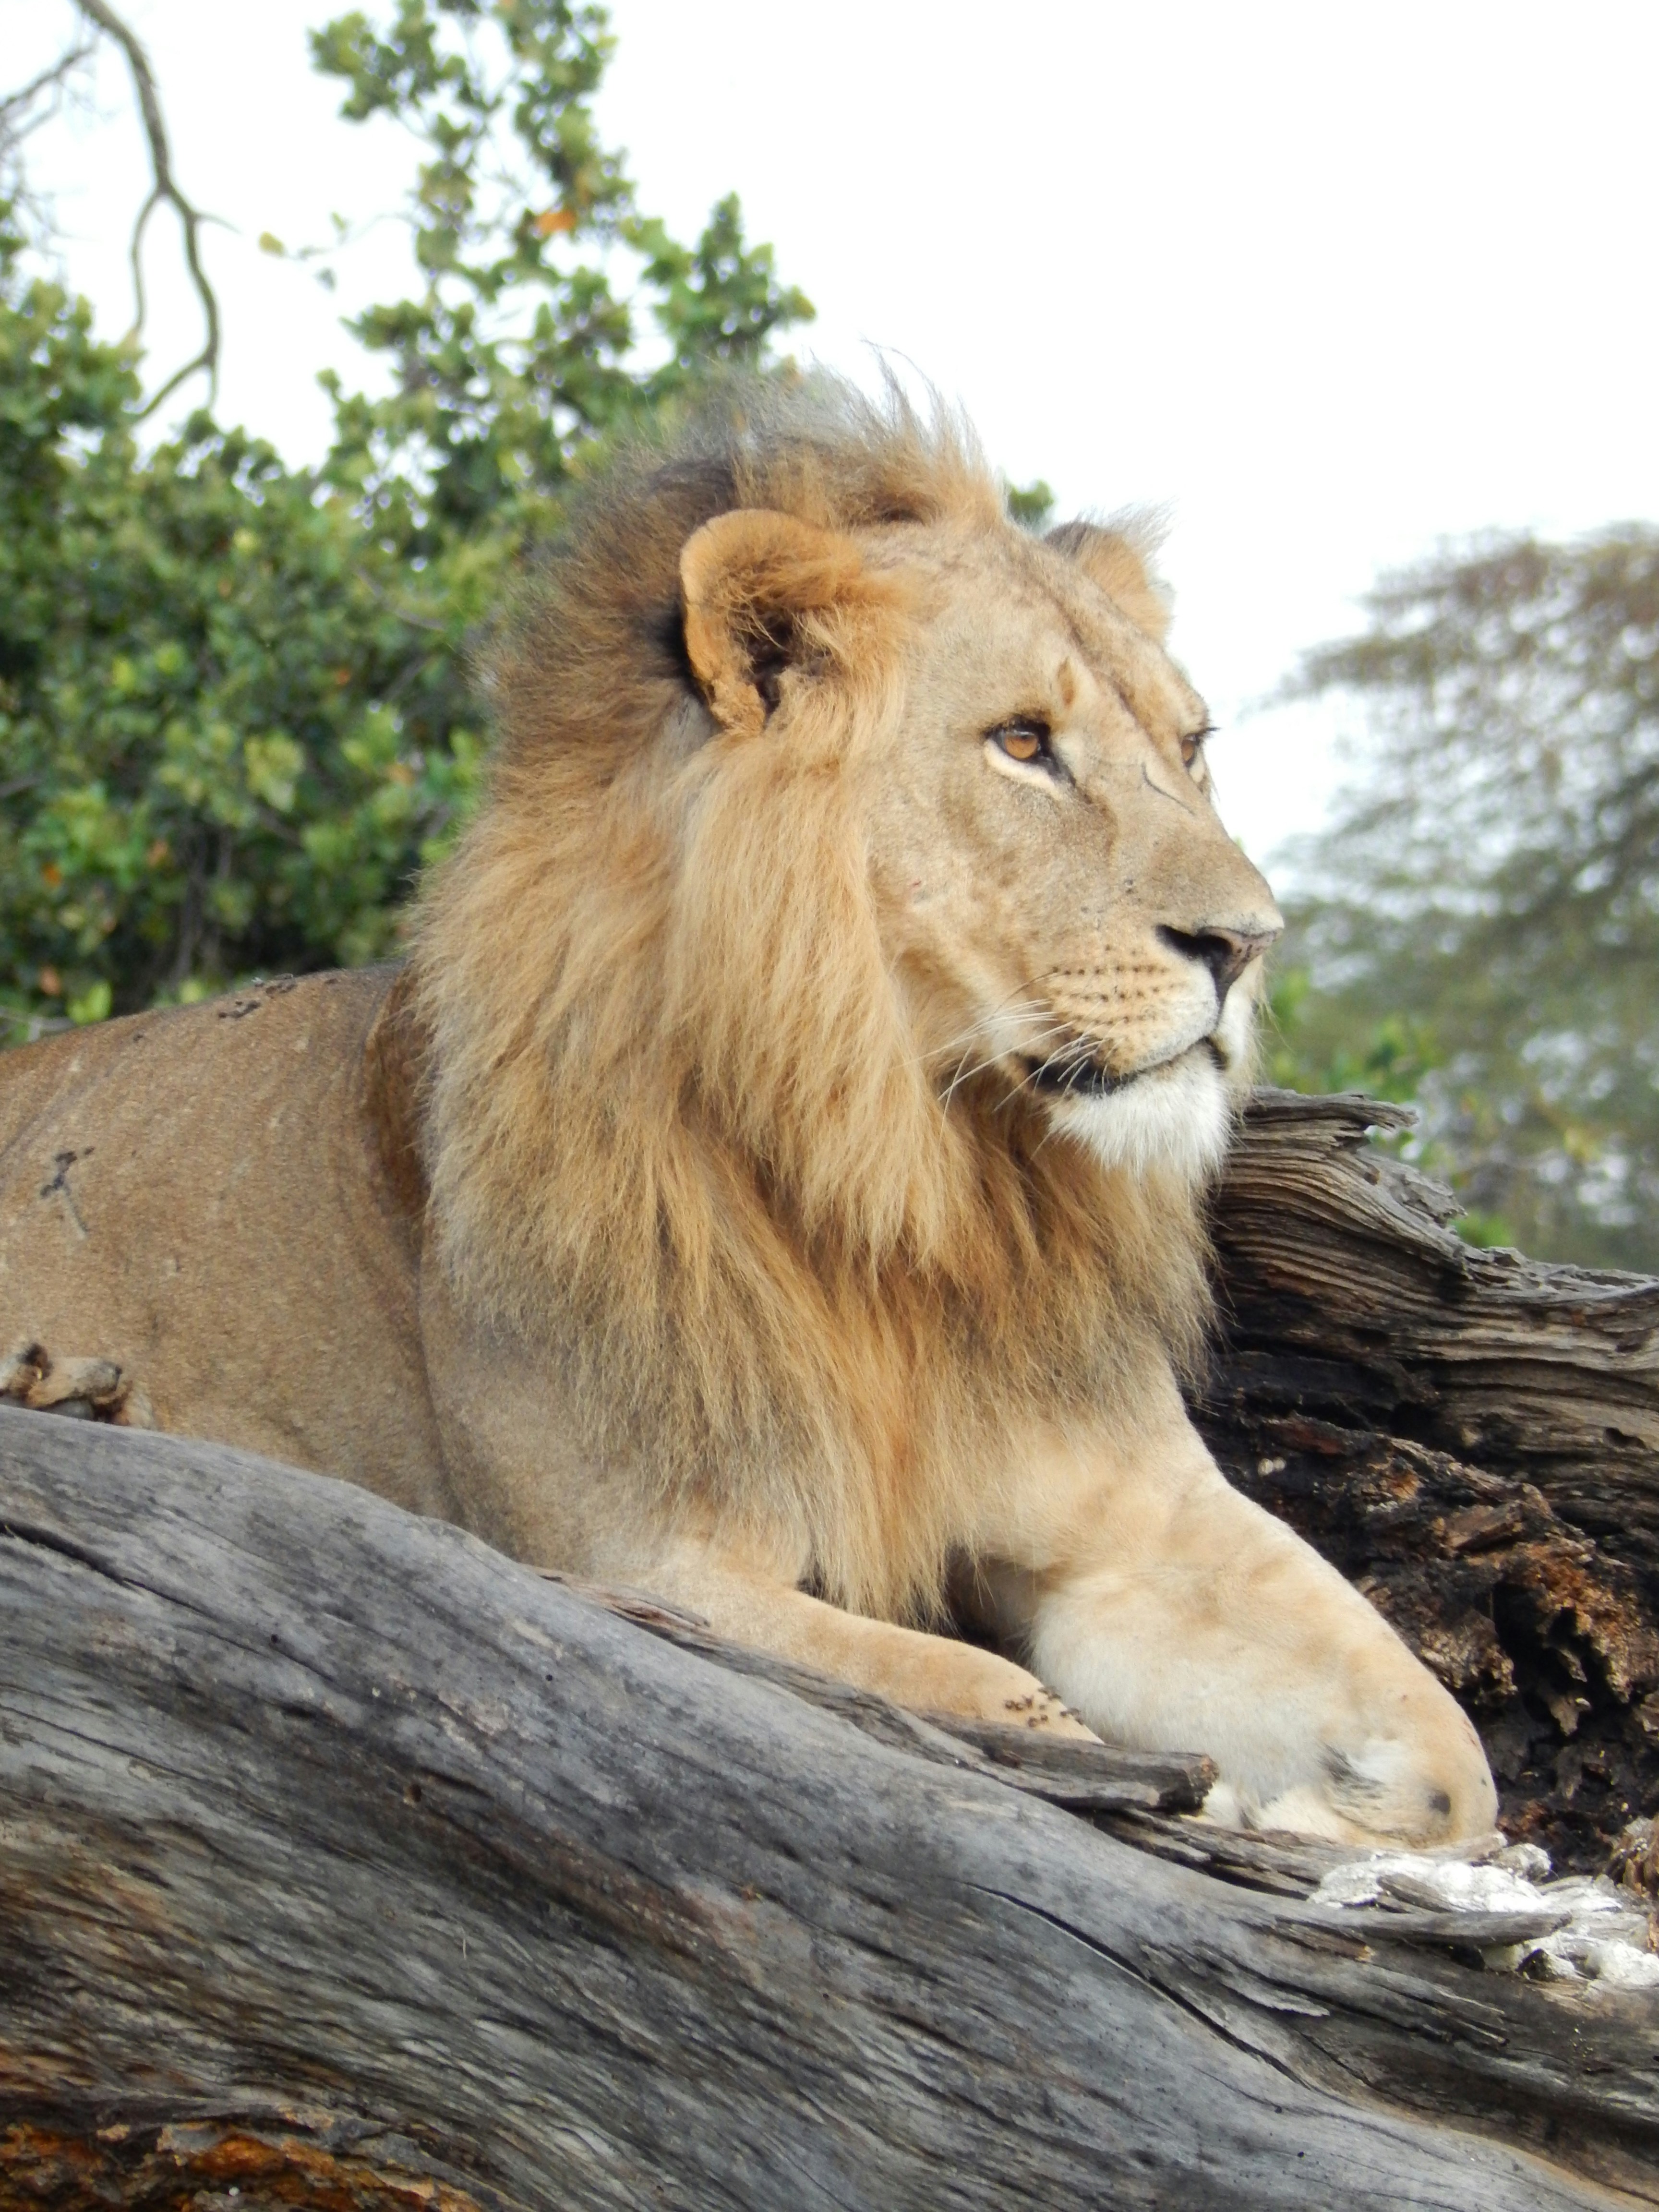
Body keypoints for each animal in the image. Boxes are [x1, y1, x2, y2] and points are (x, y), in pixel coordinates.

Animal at [0, 377, 1495, 1846]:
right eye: (1022, 744)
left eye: (1188, 749)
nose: (1247, 944)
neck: (918, 1181)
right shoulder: (628, 1564)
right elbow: (1009, 1706)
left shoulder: (1130, 1521)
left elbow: (1449, 1755)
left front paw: (1323, 1815)